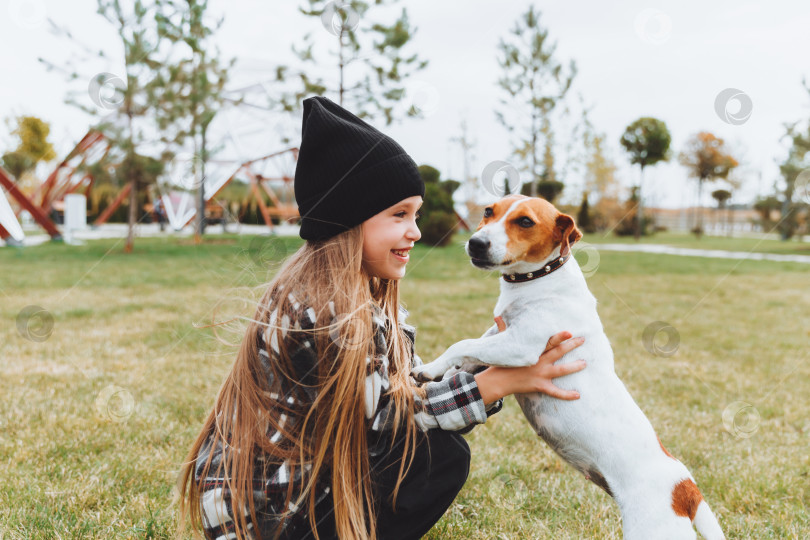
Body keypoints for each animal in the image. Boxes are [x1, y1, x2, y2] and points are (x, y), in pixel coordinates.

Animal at [414, 195, 724, 540]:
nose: (476, 243)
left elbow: (463, 344)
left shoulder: (520, 344)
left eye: (525, 221)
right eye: (488, 212)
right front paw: (438, 376)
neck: (537, 280)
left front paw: (430, 377)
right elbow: (469, 354)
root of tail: (686, 488)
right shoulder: (498, 334)